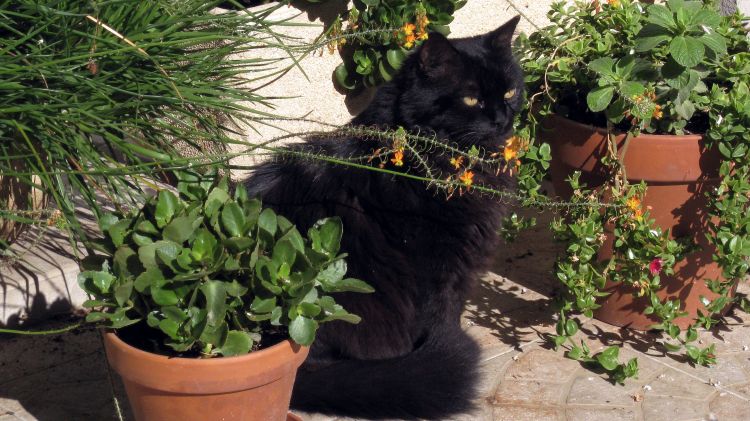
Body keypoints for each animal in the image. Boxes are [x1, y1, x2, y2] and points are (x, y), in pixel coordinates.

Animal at [245, 14, 524, 418]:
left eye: (509, 93)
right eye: (471, 98)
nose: (503, 120)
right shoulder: (442, 268)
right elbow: (444, 317)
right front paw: (444, 350)